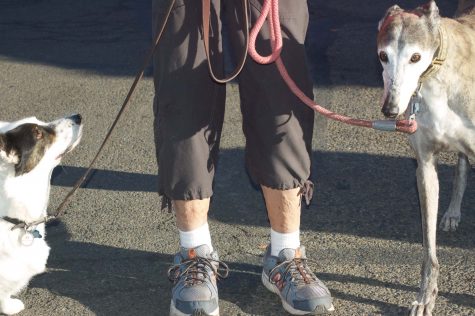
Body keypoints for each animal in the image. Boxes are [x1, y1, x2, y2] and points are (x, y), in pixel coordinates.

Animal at [380, 1, 475, 314]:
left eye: (415, 57)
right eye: (383, 56)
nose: (390, 109)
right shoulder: (424, 167)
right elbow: (429, 250)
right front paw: (425, 298)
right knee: (461, 169)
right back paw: (453, 212)